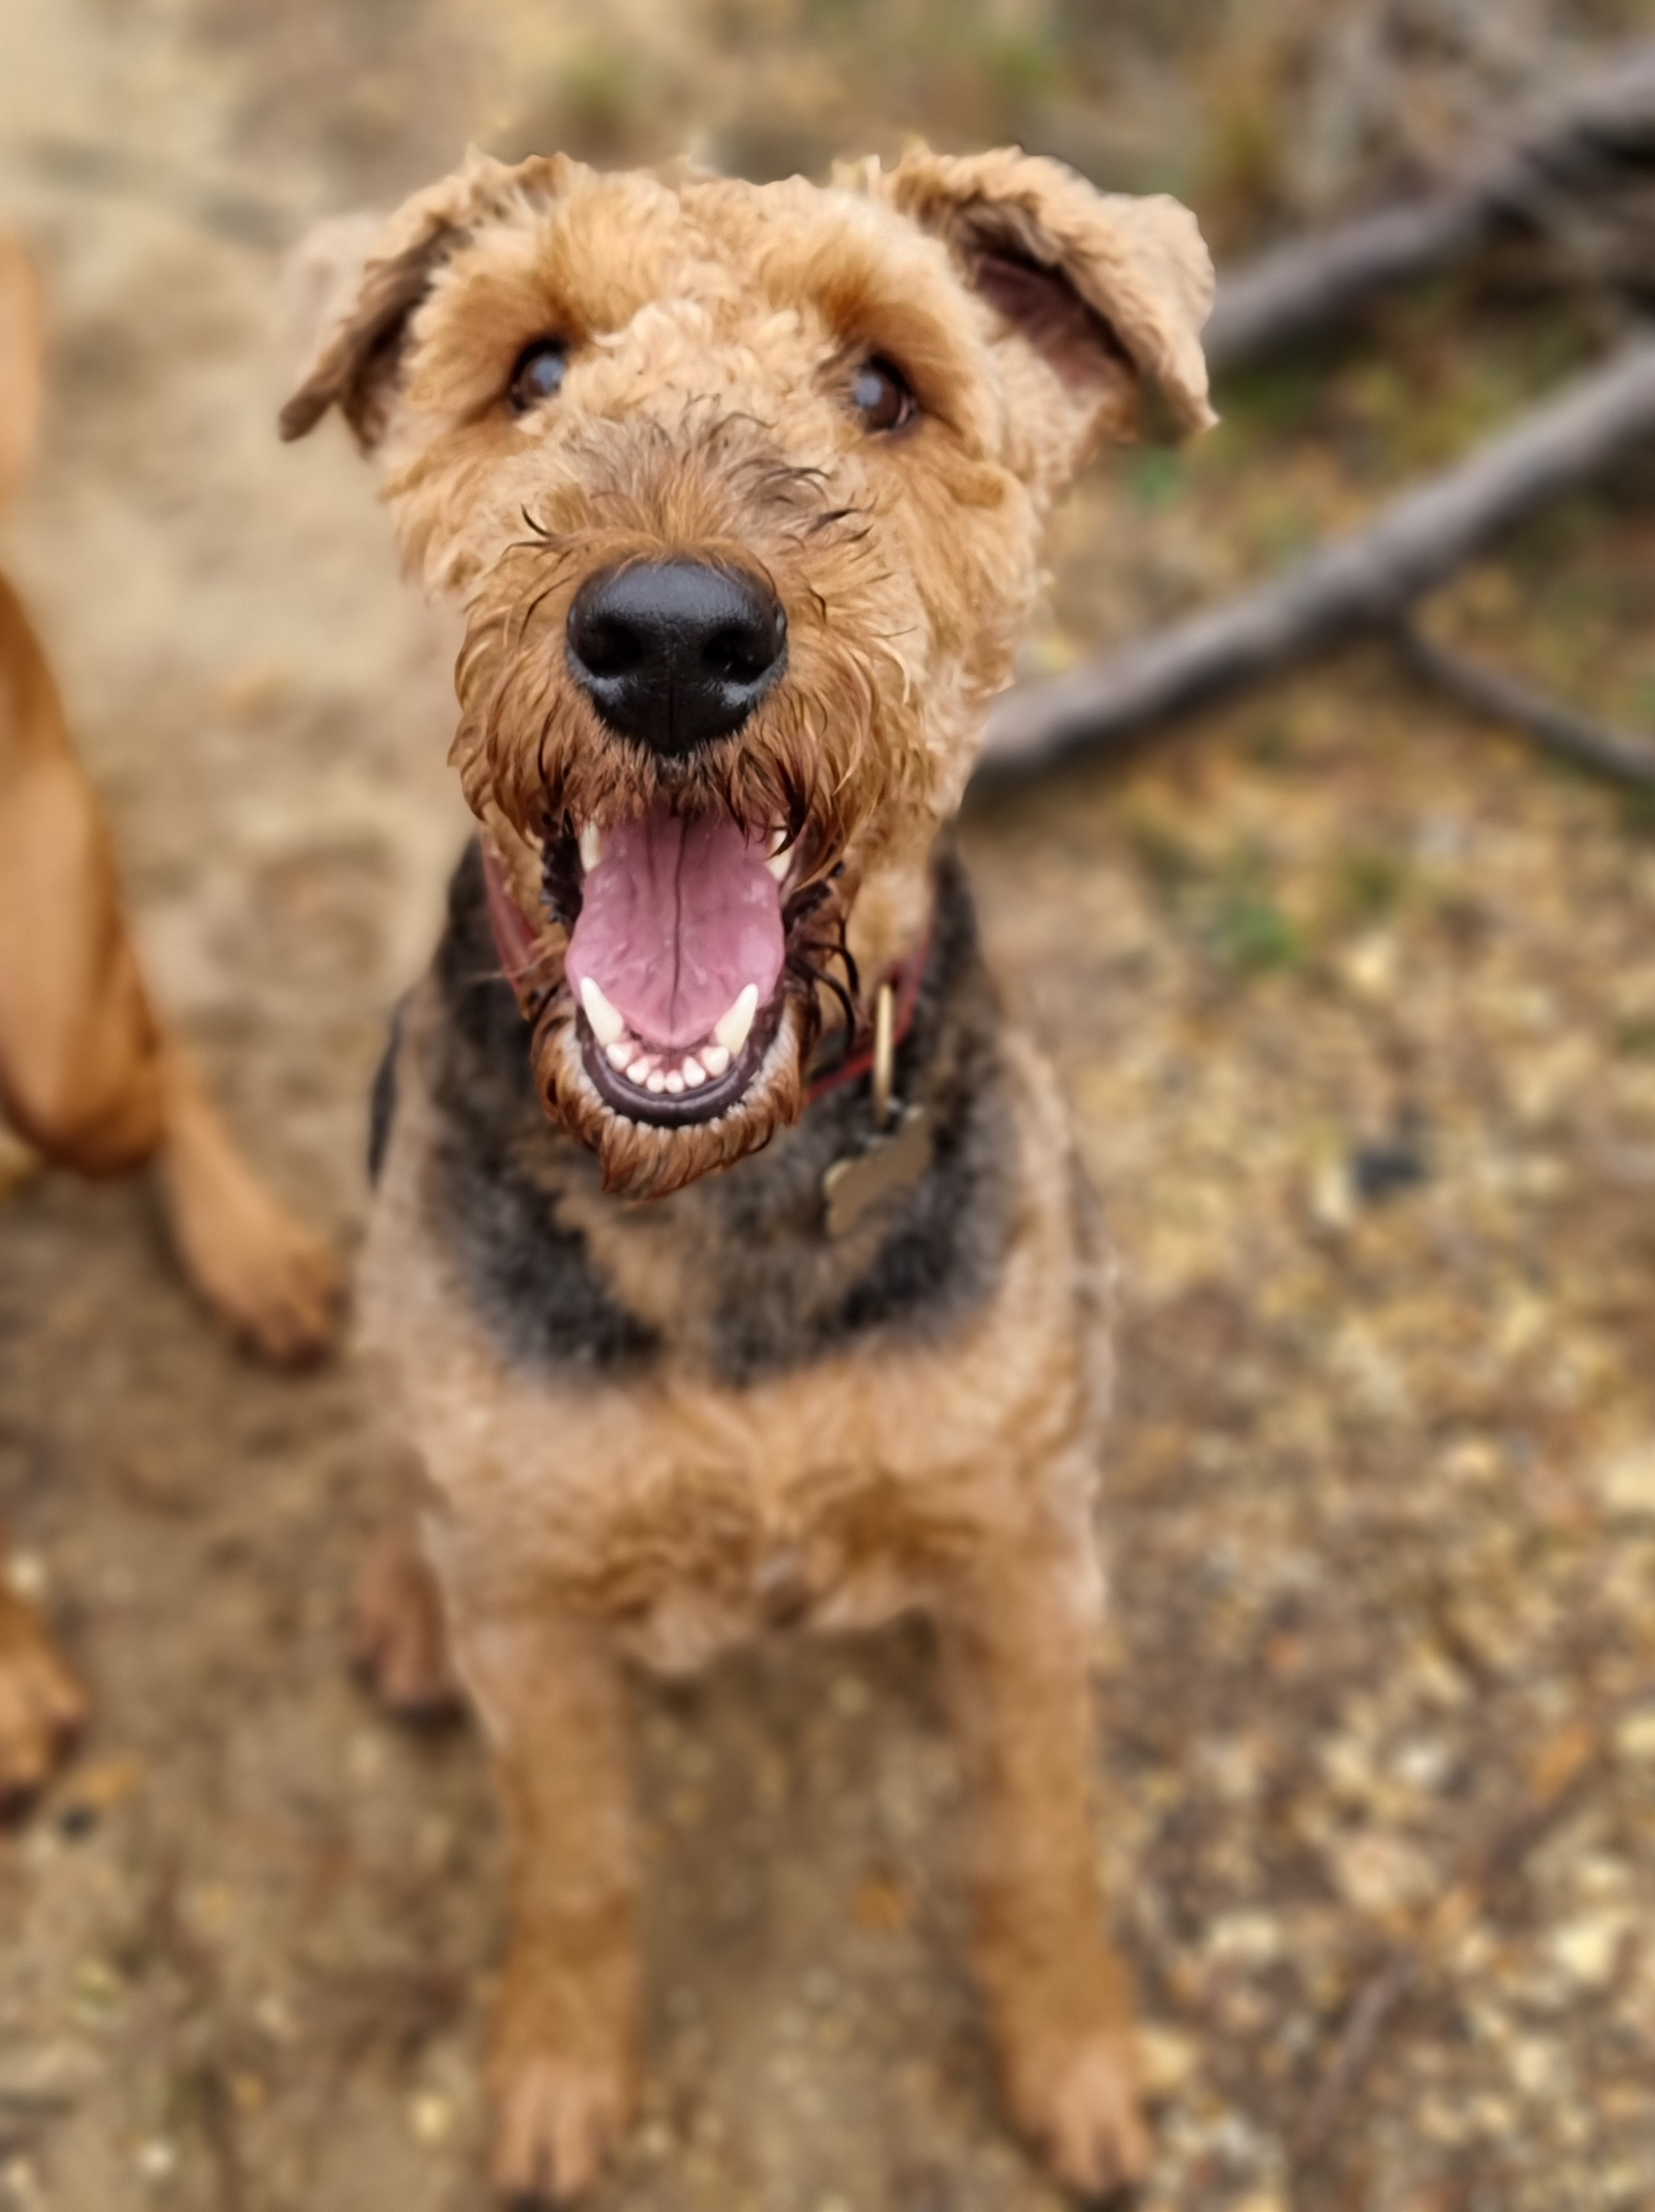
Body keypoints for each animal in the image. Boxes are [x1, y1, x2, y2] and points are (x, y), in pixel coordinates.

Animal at [282, 145, 1213, 2201]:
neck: (726, 1188)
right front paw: (557, 2083)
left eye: (884, 382)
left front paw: (1079, 2066)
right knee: (393, 1454)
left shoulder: (1024, 1550)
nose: (670, 640)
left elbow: (1035, 1837)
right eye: (534, 366)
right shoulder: (542, 1617)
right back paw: (395, 1602)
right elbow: (574, 1867)